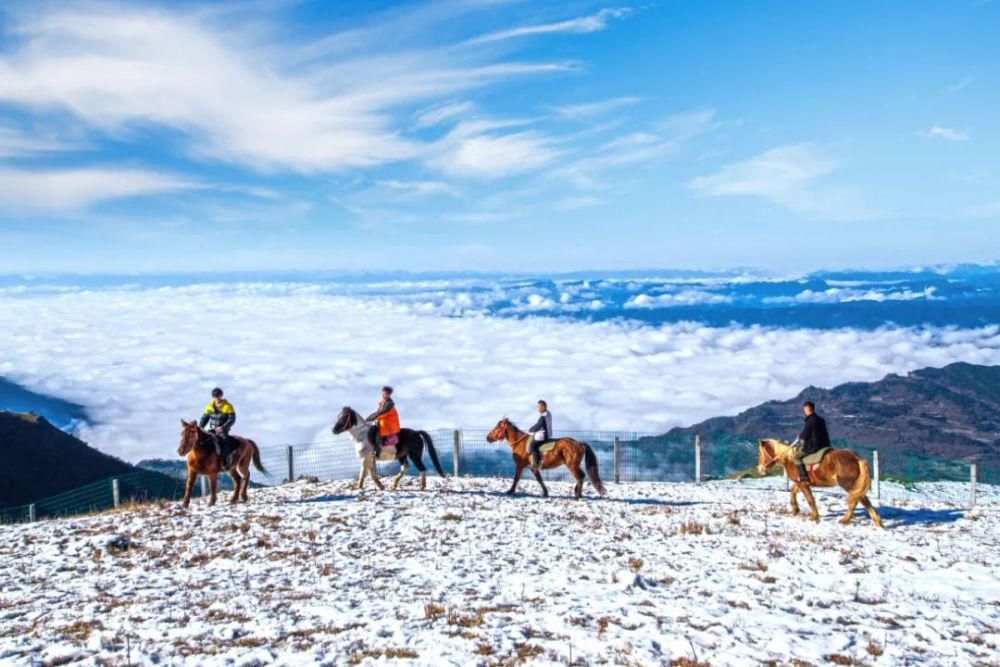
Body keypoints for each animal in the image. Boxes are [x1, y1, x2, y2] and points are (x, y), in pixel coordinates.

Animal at [756, 440, 884, 528]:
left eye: (760, 454)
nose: (760, 469)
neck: (790, 459)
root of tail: (857, 458)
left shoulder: (802, 484)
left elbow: (809, 499)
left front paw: (814, 516)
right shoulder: (801, 483)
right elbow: (793, 491)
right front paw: (795, 509)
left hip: (849, 486)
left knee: (858, 501)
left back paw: (845, 519)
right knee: (864, 501)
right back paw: (877, 522)